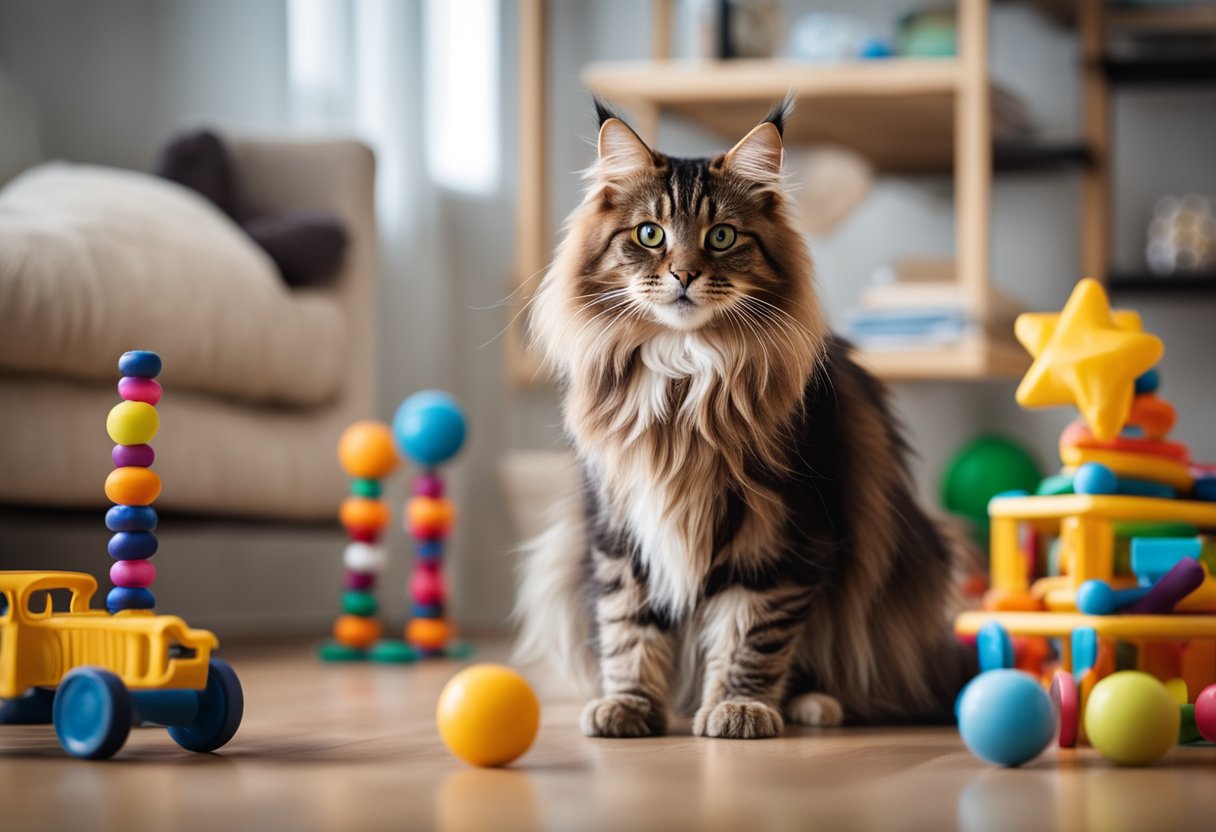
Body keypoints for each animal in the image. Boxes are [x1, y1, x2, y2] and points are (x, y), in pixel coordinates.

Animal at [518, 100, 972, 739]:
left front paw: (738, 709)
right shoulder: (619, 524)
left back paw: (812, 705)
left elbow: (751, 633)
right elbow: (628, 626)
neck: (682, 378)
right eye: (650, 234)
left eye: (722, 236)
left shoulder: (783, 532)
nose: (683, 274)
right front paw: (629, 706)